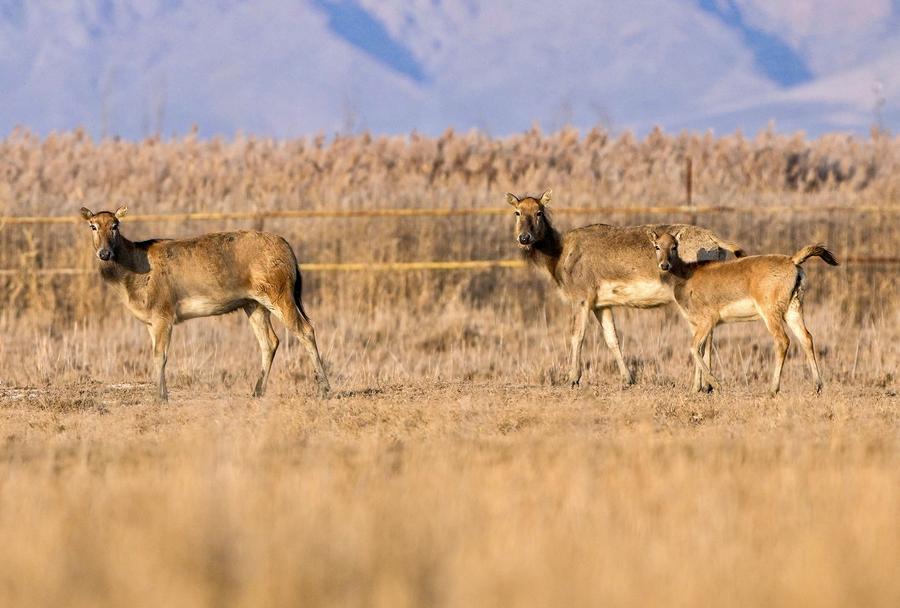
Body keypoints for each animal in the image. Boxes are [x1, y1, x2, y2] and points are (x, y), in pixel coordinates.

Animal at [79, 205, 330, 402]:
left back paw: (324, 389)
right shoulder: (151, 320)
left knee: (305, 329)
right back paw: (257, 391)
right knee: (270, 341)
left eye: (115, 225)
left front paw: (161, 398)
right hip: (254, 303)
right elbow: (155, 355)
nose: (104, 253)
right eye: (93, 226)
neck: (131, 281)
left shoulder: (164, 311)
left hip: (278, 291)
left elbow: (161, 355)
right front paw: (161, 395)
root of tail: (290, 252)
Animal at [507, 190, 745, 388]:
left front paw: (572, 378)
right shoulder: (601, 303)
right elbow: (612, 339)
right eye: (517, 212)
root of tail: (715, 242)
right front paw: (627, 379)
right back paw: (706, 386)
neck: (558, 258)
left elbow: (577, 335)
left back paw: (699, 386)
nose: (524, 237)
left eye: (539, 212)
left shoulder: (581, 295)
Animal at [649, 230, 838, 395]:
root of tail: (793, 261)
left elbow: (693, 347)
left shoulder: (708, 321)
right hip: (793, 311)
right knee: (806, 338)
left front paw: (716, 385)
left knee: (783, 341)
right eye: (657, 246)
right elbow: (700, 350)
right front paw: (696, 389)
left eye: (674, 246)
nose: (664, 265)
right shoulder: (693, 324)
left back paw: (772, 390)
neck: (686, 274)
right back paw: (817, 387)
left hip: (770, 314)